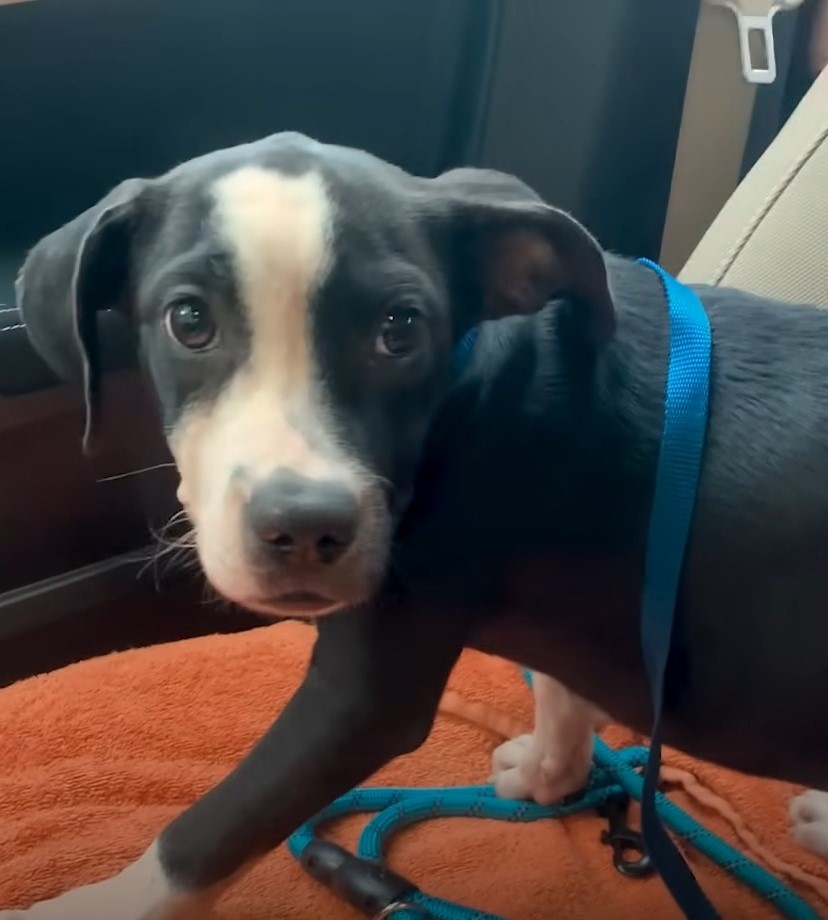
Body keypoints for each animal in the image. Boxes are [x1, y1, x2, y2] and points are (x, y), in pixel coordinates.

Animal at [6, 131, 828, 920]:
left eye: (400, 330)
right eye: (189, 320)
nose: (305, 528)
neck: (473, 382)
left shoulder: (362, 698)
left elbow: (207, 833)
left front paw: (90, 908)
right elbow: (562, 687)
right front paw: (551, 771)